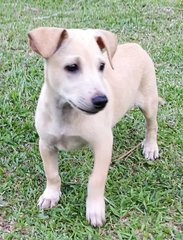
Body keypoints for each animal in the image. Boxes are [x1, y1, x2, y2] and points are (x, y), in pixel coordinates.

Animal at [27, 28, 159, 227]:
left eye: (102, 66)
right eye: (72, 67)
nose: (102, 101)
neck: (67, 112)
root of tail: (135, 46)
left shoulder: (103, 145)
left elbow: (96, 179)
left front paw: (95, 209)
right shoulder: (45, 144)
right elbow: (52, 174)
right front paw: (51, 195)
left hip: (149, 101)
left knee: (152, 125)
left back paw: (151, 146)